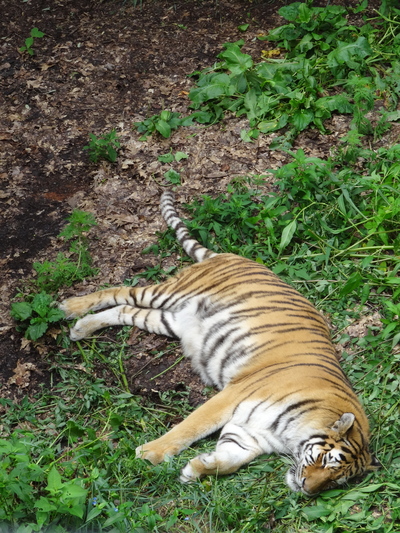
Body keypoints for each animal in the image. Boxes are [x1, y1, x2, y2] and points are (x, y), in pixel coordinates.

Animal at [60, 189, 382, 492]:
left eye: (335, 481)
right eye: (326, 460)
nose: (307, 489)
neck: (292, 434)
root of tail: (227, 255)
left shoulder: (251, 435)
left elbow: (231, 459)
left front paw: (197, 468)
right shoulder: (232, 396)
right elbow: (189, 428)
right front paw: (150, 454)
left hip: (171, 320)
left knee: (125, 310)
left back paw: (82, 328)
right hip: (168, 293)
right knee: (119, 291)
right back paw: (71, 308)